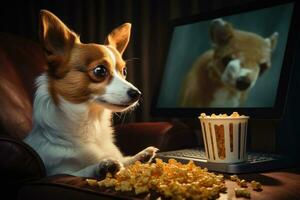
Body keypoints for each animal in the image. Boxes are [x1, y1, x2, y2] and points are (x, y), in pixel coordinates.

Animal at [23, 10, 158, 177]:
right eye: (100, 71)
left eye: (124, 71)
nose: (137, 94)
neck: (92, 121)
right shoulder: (59, 171)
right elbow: (81, 171)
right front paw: (103, 165)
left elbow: (124, 160)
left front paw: (140, 156)